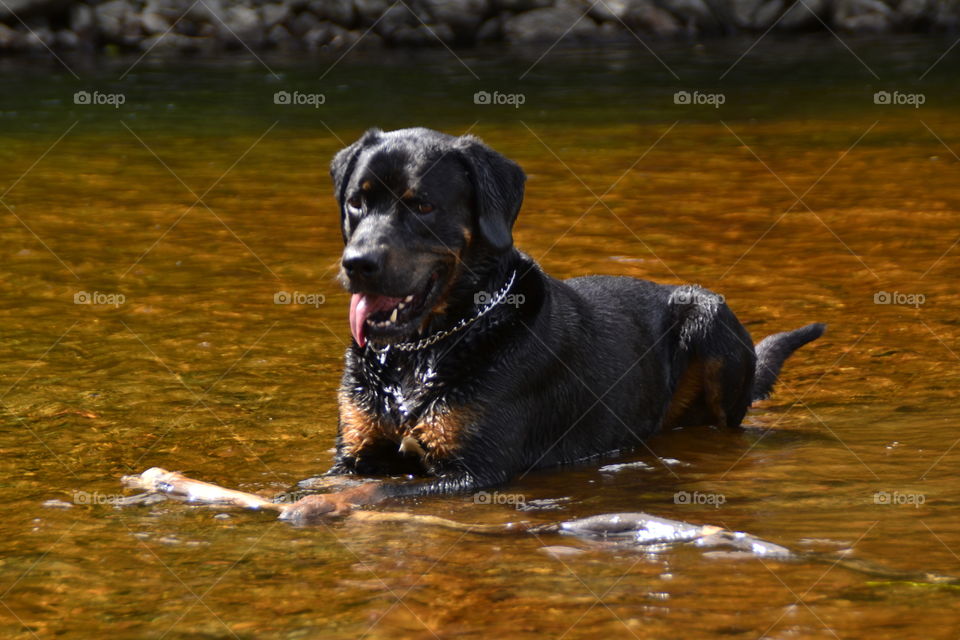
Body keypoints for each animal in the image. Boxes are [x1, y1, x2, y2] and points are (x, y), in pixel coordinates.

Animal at [278, 129, 824, 520]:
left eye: (423, 205)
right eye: (357, 201)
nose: (357, 263)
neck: (422, 351)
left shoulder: (476, 471)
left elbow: (379, 491)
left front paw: (315, 506)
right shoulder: (354, 452)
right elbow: (335, 479)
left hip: (710, 317)